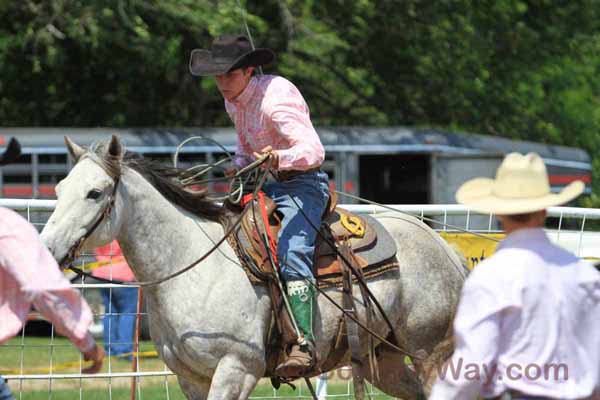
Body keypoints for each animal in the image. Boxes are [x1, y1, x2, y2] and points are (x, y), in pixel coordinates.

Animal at [41, 136, 468, 398]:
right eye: (59, 189)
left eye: (95, 193)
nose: (46, 250)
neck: (193, 266)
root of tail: (445, 248)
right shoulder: (190, 378)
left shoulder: (237, 369)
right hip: (388, 359)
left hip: (432, 353)